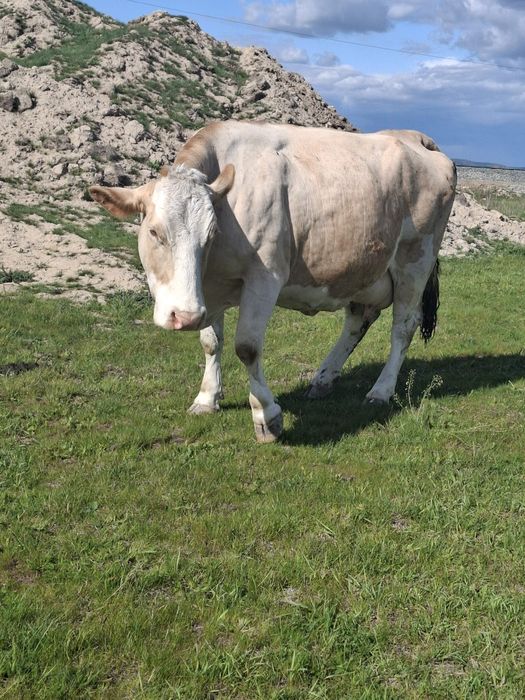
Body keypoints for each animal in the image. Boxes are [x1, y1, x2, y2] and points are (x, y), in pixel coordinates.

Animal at [90, 120, 456, 442]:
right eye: (154, 232)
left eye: (210, 234)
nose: (185, 316)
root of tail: (416, 138)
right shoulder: (207, 289)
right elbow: (211, 341)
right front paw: (207, 398)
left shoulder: (265, 277)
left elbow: (247, 347)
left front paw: (266, 416)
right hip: (362, 269)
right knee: (357, 321)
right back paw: (323, 379)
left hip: (415, 260)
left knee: (403, 327)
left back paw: (380, 390)